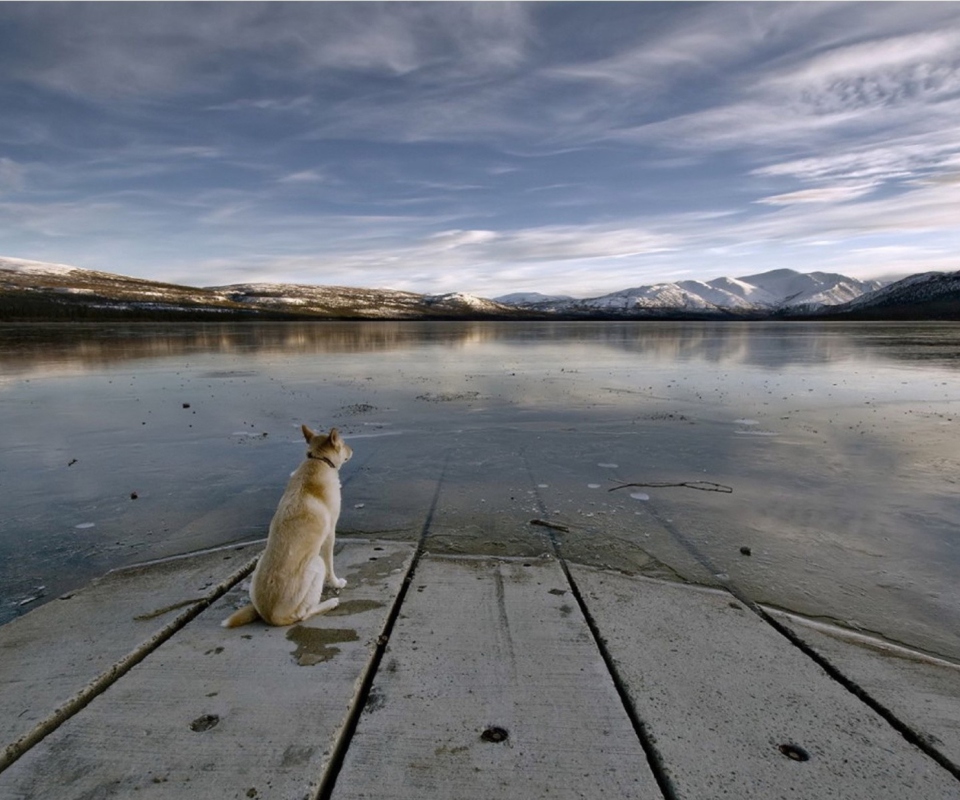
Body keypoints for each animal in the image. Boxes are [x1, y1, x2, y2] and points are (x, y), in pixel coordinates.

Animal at [224, 422, 352, 628]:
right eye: (343, 444)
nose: (352, 450)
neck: (318, 461)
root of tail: (269, 616)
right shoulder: (330, 533)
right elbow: (330, 565)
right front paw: (335, 583)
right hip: (315, 563)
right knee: (303, 615)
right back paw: (331, 603)